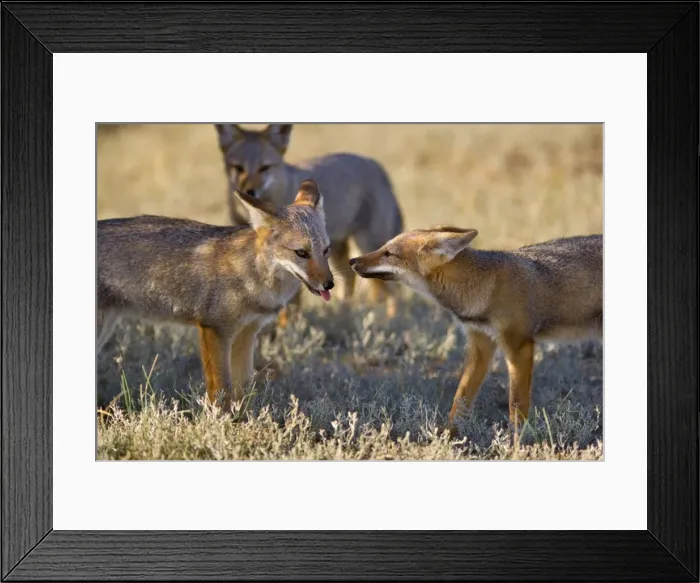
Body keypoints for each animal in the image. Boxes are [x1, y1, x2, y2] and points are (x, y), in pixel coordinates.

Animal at [97, 179, 334, 410]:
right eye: (301, 253)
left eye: (326, 251)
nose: (329, 284)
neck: (253, 274)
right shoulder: (215, 329)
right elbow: (221, 388)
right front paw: (220, 420)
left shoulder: (248, 331)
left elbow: (243, 388)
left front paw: (243, 418)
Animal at [214, 123, 404, 322]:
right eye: (238, 168)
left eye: (264, 168)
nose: (250, 191)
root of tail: (377, 165)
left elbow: (289, 306)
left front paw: (287, 327)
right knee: (349, 278)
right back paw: (342, 315)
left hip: (367, 245)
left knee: (394, 288)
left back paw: (393, 319)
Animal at [349, 226, 603, 428]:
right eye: (382, 247)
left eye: (388, 253)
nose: (352, 261)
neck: (486, 285)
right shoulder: (480, 345)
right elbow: (459, 402)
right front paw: (447, 440)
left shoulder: (519, 346)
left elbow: (516, 406)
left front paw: (515, 446)